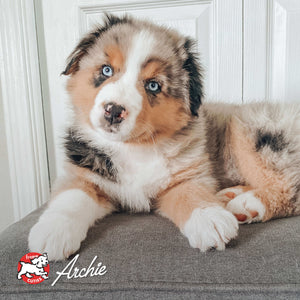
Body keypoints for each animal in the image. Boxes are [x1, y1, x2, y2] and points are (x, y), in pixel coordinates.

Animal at [28, 13, 300, 260]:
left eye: (153, 85)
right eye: (106, 70)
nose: (113, 110)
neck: (134, 147)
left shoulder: (190, 174)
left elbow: (191, 194)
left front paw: (209, 218)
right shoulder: (83, 172)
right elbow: (71, 197)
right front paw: (53, 231)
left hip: (253, 131)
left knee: (291, 188)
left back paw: (249, 205)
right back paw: (233, 196)